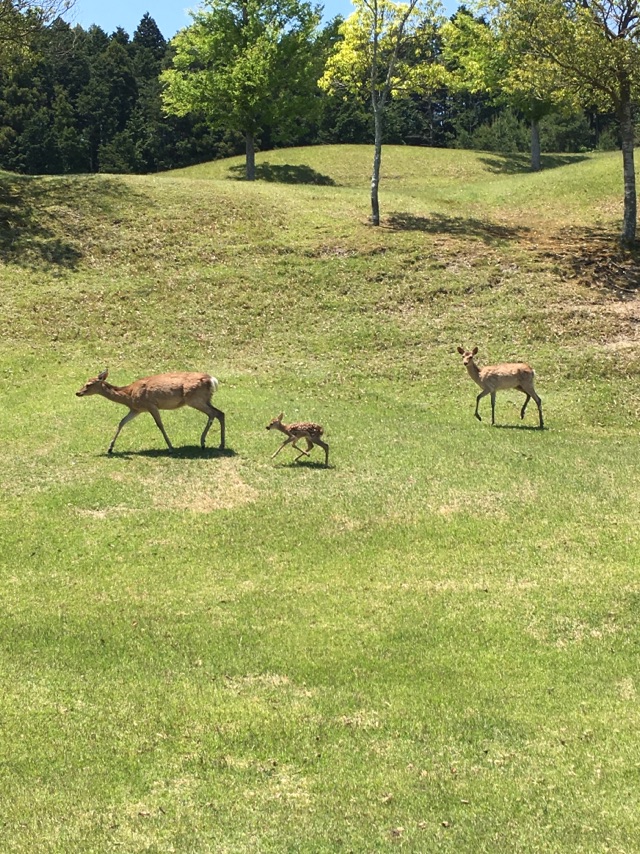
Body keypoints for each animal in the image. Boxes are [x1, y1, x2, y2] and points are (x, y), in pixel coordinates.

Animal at [77, 372, 224, 458]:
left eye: (89, 384)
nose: (78, 392)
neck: (129, 395)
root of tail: (212, 380)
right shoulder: (136, 409)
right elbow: (122, 422)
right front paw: (110, 448)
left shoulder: (151, 405)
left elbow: (160, 425)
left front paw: (170, 448)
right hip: (204, 399)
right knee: (220, 413)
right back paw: (213, 444)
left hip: (194, 399)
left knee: (215, 413)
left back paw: (210, 443)